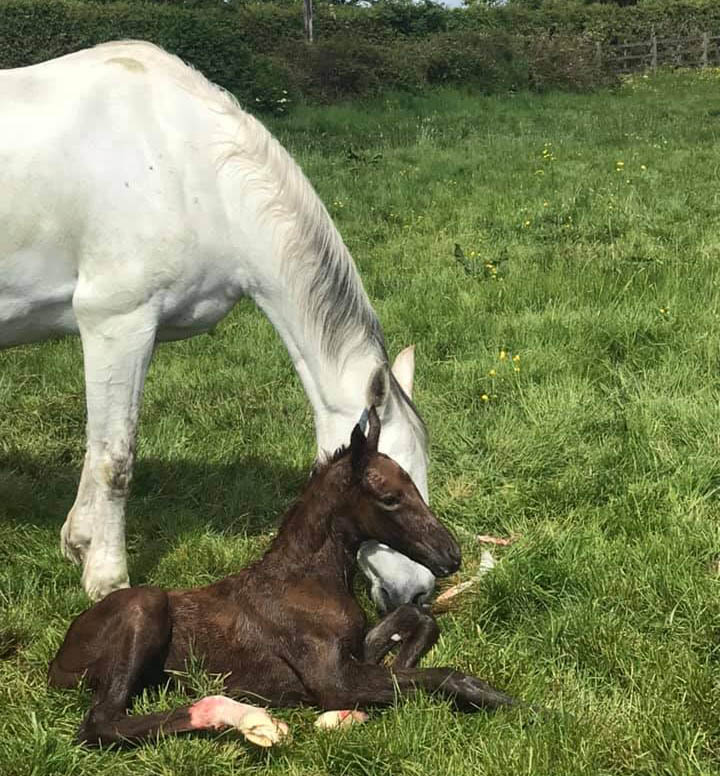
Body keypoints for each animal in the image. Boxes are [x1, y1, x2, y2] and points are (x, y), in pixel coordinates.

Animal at [0, 42, 434, 608]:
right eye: (390, 489)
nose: (420, 593)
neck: (188, 165)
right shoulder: (117, 323)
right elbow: (115, 458)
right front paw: (107, 580)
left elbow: (96, 446)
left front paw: (79, 543)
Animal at [47, 406, 516, 744]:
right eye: (389, 498)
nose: (451, 556)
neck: (308, 580)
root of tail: (58, 663)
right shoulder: (332, 680)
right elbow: (447, 674)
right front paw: (509, 702)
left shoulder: (353, 653)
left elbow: (417, 621)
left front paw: (401, 657)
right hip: (146, 603)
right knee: (101, 723)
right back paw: (251, 720)